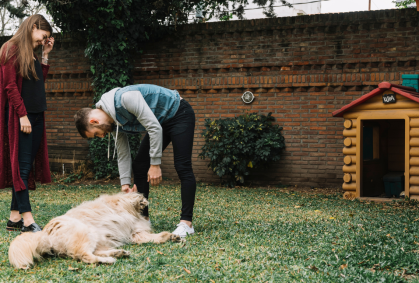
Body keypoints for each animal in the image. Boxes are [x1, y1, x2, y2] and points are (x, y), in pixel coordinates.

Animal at [8, 192, 181, 270]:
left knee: (94, 253)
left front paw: (171, 237)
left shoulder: (136, 234)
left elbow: (156, 236)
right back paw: (110, 260)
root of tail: (45, 233)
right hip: (86, 231)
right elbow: (127, 197)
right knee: (84, 256)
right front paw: (140, 199)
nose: (146, 206)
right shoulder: (119, 202)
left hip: (97, 239)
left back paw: (118, 253)